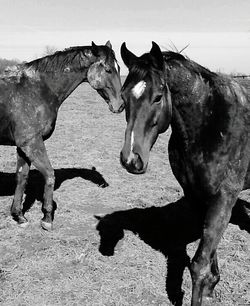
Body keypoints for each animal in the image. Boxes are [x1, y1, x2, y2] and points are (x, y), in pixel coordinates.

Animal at [0, 40, 123, 230]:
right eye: (108, 69)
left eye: (119, 67)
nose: (120, 105)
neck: (36, 90)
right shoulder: (32, 144)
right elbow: (50, 175)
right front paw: (47, 218)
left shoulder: (23, 147)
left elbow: (21, 177)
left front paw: (19, 216)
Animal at [119, 41, 250, 304]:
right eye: (124, 96)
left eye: (158, 97)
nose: (131, 160)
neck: (211, 125)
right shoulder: (197, 197)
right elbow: (208, 248)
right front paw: (212, 285)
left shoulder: (223, 199)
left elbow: (198, 264)